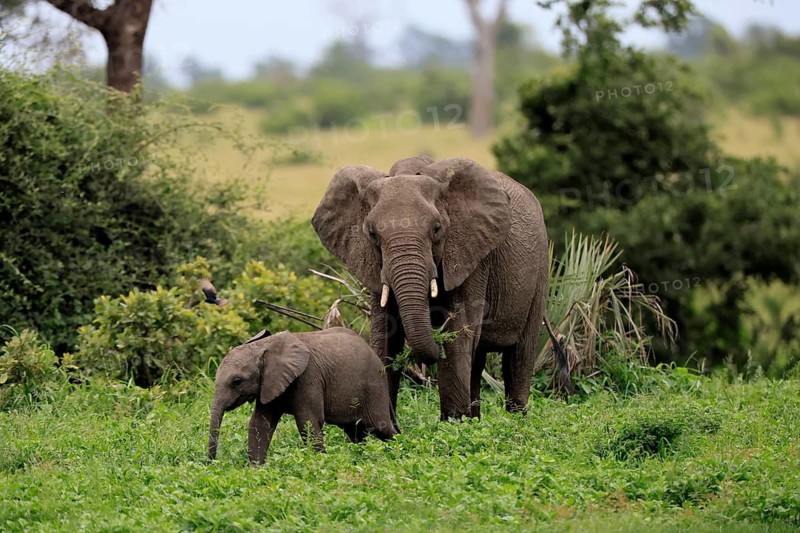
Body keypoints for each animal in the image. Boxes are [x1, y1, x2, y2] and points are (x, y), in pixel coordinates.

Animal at [207, 327, 398, 464]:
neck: (264, 346)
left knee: (381, 427)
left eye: (237, 381)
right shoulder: (269, 383)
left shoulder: (308, 377)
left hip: (374, 388)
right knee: (355, 431)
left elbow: (308, 422)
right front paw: (255, 469)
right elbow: (259, 423)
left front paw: (320, 464)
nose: (211, 463)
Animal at [312, 155, 572, 420]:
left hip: (540, 269)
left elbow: (458, 332)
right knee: (477, 359)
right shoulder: (373, 264)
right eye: (372, 234)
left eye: (437, 229)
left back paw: (515, 420)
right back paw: (475, 420)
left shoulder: (470, 253)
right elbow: (385, 335)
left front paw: (453, 424)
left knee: (519, 354)